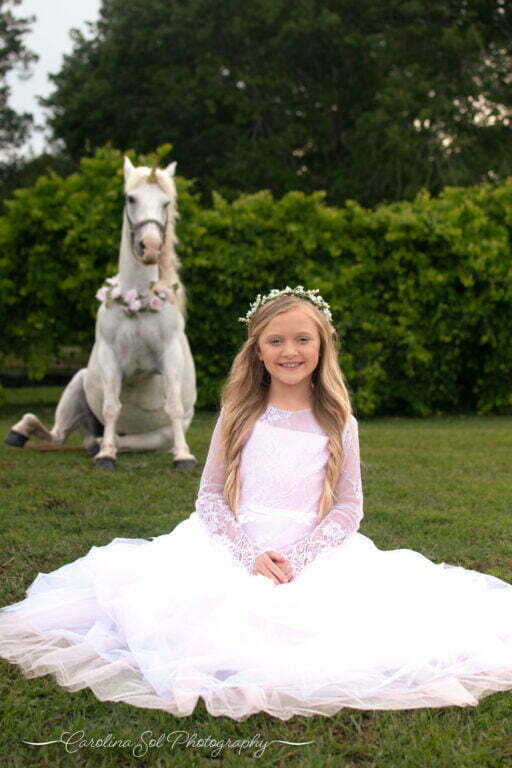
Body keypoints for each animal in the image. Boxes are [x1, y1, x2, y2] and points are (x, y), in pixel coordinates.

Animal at [5, 157, 197, 470]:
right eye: (130, 198)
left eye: (166, 202)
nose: (150, 247)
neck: (137, 304)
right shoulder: (110, 357)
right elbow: (111, 407)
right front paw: (107, 456)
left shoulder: (170, 358)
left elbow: (174, 406)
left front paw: (183, 456)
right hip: (77, 384)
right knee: (58, 434)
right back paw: (20, 432)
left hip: (158, 436)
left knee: (112, 439)